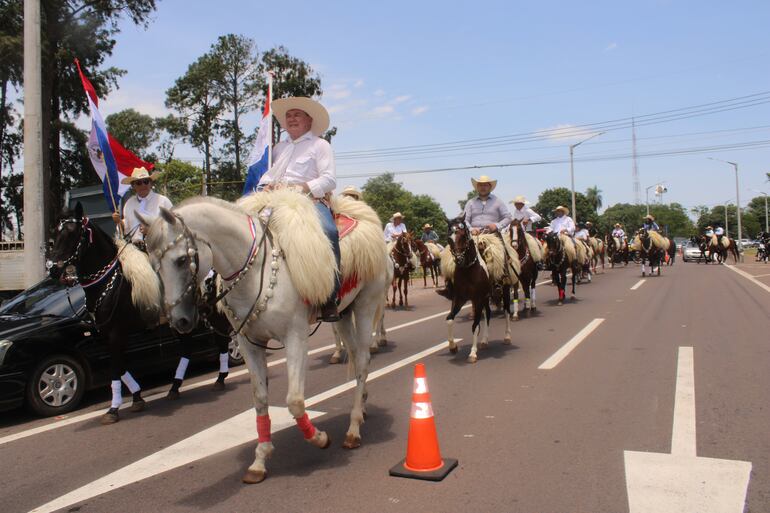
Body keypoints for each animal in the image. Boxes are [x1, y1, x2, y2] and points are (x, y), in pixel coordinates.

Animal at [143, 190, 388, 482]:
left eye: (181, 260)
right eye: (153, 265)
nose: (179, 320)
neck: (255, 271)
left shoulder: (295, 339)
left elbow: (294, 400)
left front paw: (318, 438)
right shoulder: (250, 344)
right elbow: (260, 400)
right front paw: (259, 460)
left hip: (365, 305)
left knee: (362, 360)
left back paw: (353, 429)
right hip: (342, 314)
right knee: (354, 355)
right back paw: (361, 406)